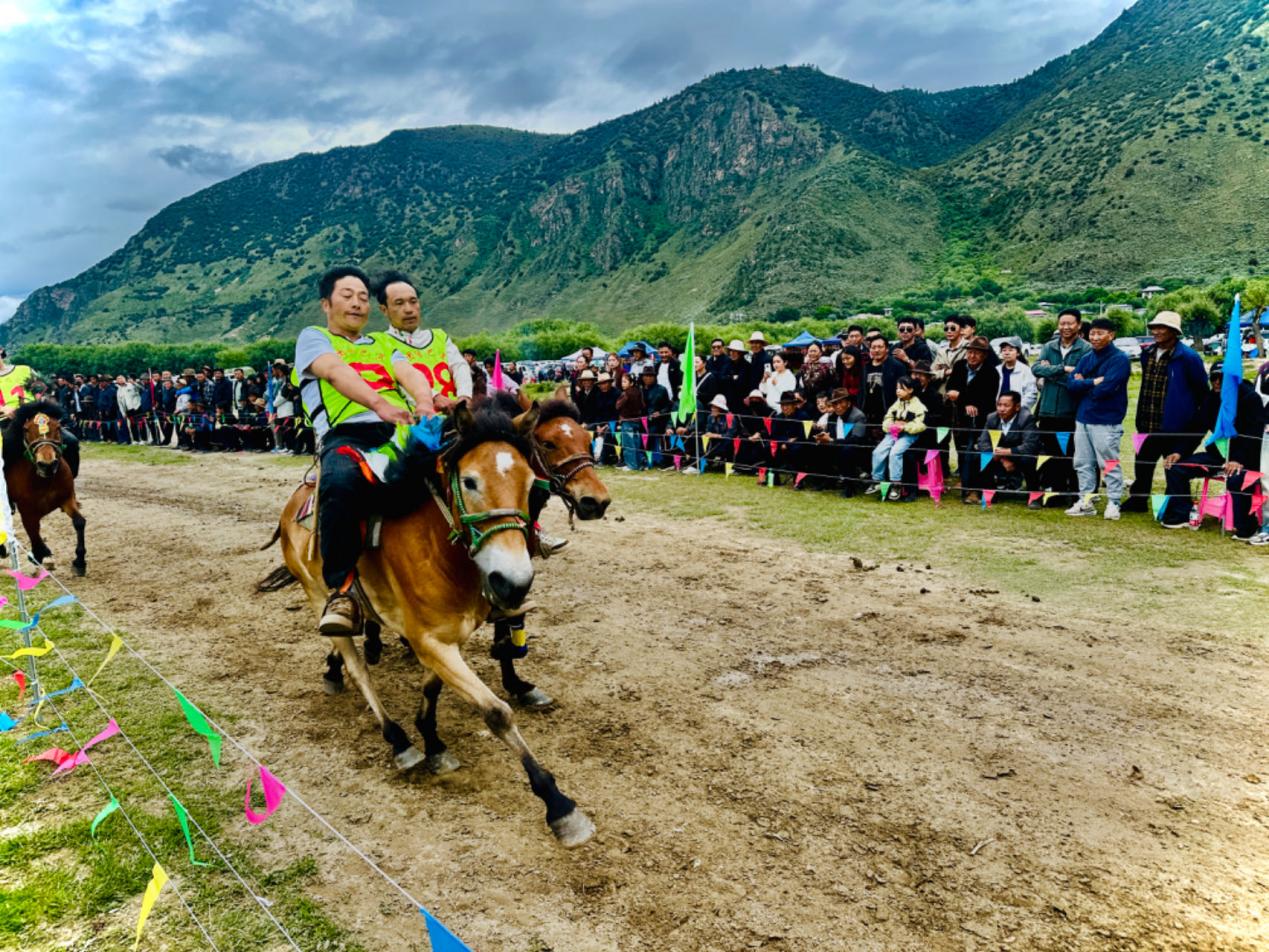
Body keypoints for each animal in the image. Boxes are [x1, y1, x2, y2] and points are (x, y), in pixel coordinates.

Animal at [3, 401, 86, 573]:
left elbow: (79, 522)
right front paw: (41, 555)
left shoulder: (67, 499)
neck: (44, 480)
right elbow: (34, 533)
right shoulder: (27, 511)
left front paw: (80, 561)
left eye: (58, 427)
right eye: (26, 429)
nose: (47, 464)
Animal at [267, 403, 593, 847]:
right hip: (318, 593)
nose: (513, 581)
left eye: (530, 483)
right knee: (358, 668)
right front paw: (559, 805)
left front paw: (434, 741)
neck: (440, 548)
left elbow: (432, 688)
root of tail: (292, 506)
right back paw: (396, 738)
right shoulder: (430, 641)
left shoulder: (445, 636)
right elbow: (497, 713)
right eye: (470, 481)